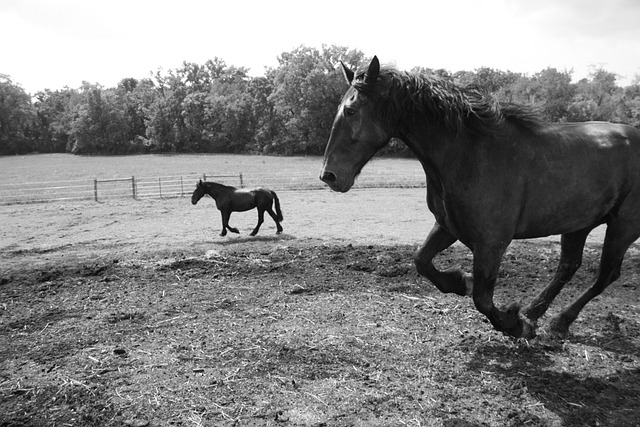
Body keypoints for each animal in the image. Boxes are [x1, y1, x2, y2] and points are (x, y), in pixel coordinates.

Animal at [320, 56, 640, 340]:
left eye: (351, 110)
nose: (329, 176)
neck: (470, 153)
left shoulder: (491, 243)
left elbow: (482, 298)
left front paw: (513, 324)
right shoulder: (448, 226)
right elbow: (422, 260)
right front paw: (460, 281)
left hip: (622, 228)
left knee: (605, 276)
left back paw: (557, 321)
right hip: (578, 224)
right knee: (568, 267)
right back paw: (534, 314)